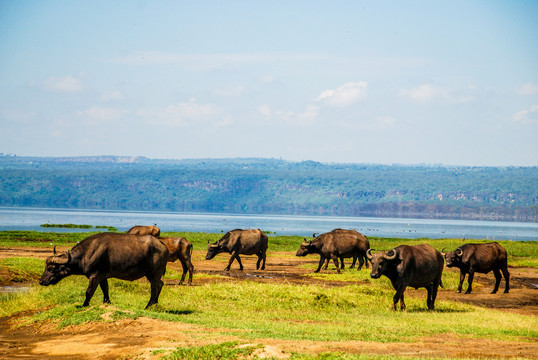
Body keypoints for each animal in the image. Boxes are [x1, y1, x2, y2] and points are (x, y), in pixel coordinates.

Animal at [39, 233, 168, 310]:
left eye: (51, 268)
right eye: (46, 268)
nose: (41, 281)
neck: (86, 254)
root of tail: (162, 245)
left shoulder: (94, 276)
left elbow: (89, 291)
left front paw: (84, 304)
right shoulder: (102, 276)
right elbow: (105, 289)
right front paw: (107, 302)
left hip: (154, 273)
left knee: (154, 287)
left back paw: (148, 305)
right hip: (151, 274)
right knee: (160, 284)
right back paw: (155, 303)